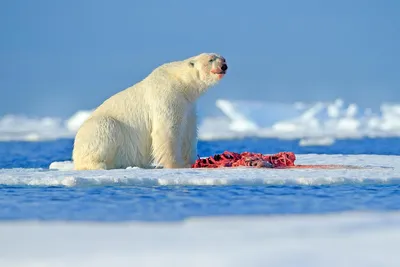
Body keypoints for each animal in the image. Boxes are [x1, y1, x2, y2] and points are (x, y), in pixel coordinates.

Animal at [72, 53, 228, 171]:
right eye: (211, 59)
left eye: (223, 58)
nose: (224, 66)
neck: (181, 82)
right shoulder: (167, 96)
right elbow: (167, 130)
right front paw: (176, 164)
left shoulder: (188, 106)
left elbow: (188, 133)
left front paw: (191, 161)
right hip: (99, 129)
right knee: (106, 128)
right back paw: (99, 165)